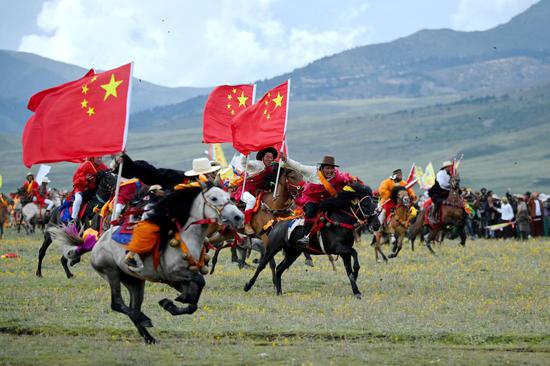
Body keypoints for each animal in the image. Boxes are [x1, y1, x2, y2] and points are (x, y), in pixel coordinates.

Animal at [50, 186, 244, 344]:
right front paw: (176, 301)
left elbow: (193, 302)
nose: (238, 217)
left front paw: (170, 304)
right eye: (214, 198)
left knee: (132, 307)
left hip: (135, 282)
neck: (187, 239)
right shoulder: (175, 274)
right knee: (117, 304)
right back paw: (144, 319)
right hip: (111, 273)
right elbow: (199, 283)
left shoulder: (180, 280)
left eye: (229, 196)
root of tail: (97, 241)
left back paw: (149, 336)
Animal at [245, 184, 380, 298]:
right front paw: (356, 276)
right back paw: (248, 286)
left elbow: (350, 270)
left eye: (375, 205)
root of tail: (276, 223)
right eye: (366, 205)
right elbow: (354, 253)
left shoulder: (344, 253)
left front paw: (356, 291)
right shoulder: (337, 248)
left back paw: (279, 292)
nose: (377, 225)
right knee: (262, 265)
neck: (339, 222)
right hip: (273, 248)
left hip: (292, 253)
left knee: (279, 269)